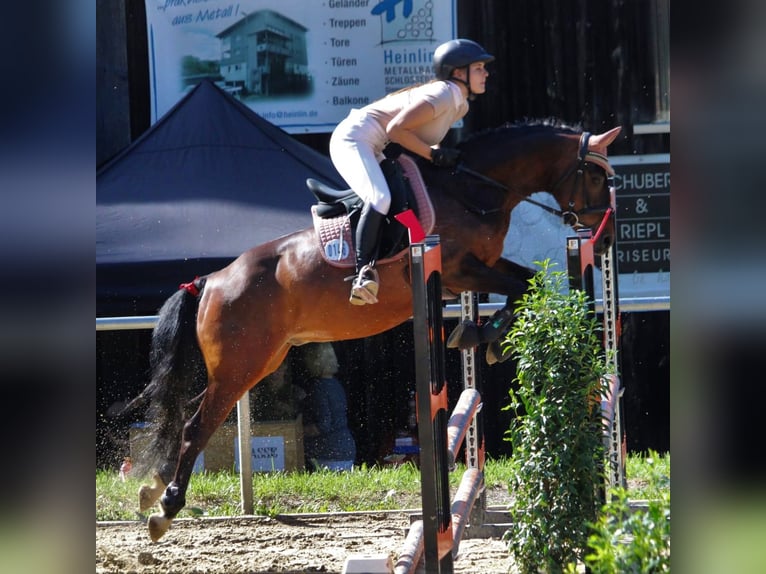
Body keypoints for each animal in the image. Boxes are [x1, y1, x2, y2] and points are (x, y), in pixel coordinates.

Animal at [126, 119, 620, 544]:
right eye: (597, 177)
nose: (609, 235)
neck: (471, 189)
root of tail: (212, 281)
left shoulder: (478, 267)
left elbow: (526, 281)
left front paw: (487, 336)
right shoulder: (459, 268)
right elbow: (520, 286)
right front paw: (484, 335)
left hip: (255, 362)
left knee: (191, 415)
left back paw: (154, 485)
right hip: (240, 366)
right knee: (195, 425)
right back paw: (166, 507)